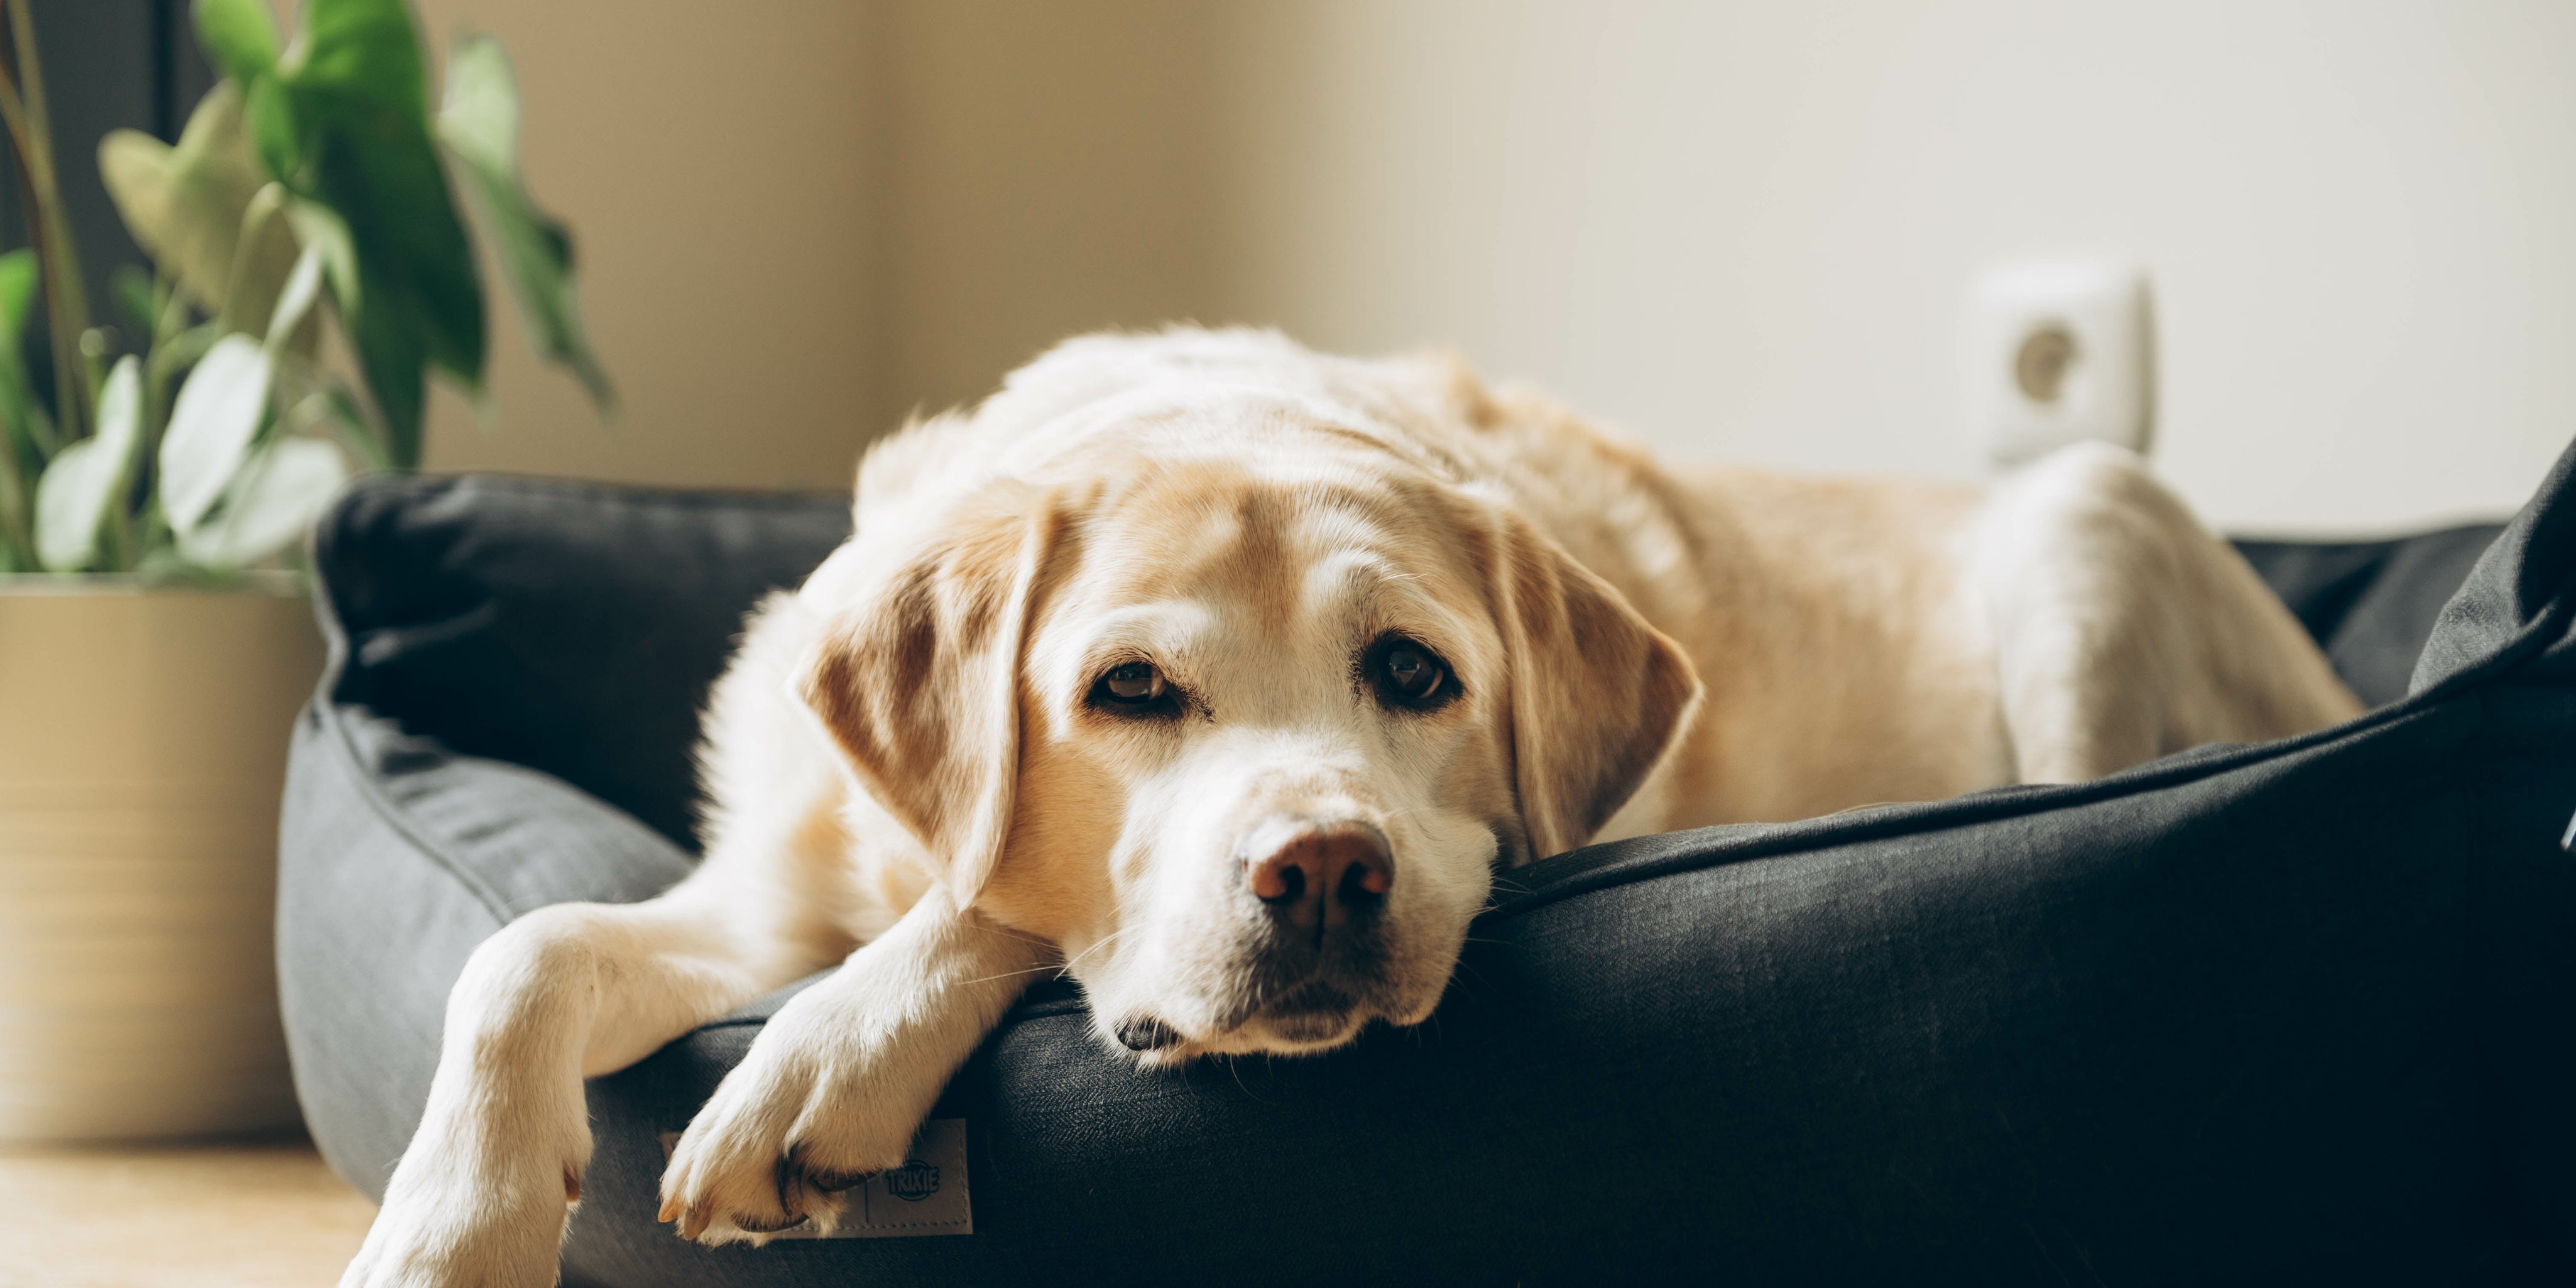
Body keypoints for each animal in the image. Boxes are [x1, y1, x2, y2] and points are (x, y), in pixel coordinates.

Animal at [342, 327, 2359, 1282]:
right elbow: (521, 954)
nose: (1319, 871)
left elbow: (992, 905)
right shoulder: (760, 893)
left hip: (2086, 513)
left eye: (1412, 673)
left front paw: (826, 1057)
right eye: (1127, 691)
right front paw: (446, 1230)